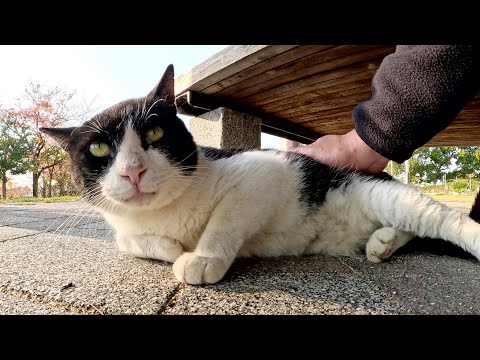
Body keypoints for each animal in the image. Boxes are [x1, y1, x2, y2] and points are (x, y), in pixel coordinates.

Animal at [39, 64, 480, 284]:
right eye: (99, 150)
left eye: (155, 133)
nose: (133, 171)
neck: (164, 215)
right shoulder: (126, 228)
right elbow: (127, 241)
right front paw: (170, 248)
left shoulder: (262, 172)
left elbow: (223, 221)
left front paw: (200, 258)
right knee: (408, 229)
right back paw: (383, 243)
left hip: (378, 192)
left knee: (441, 220)